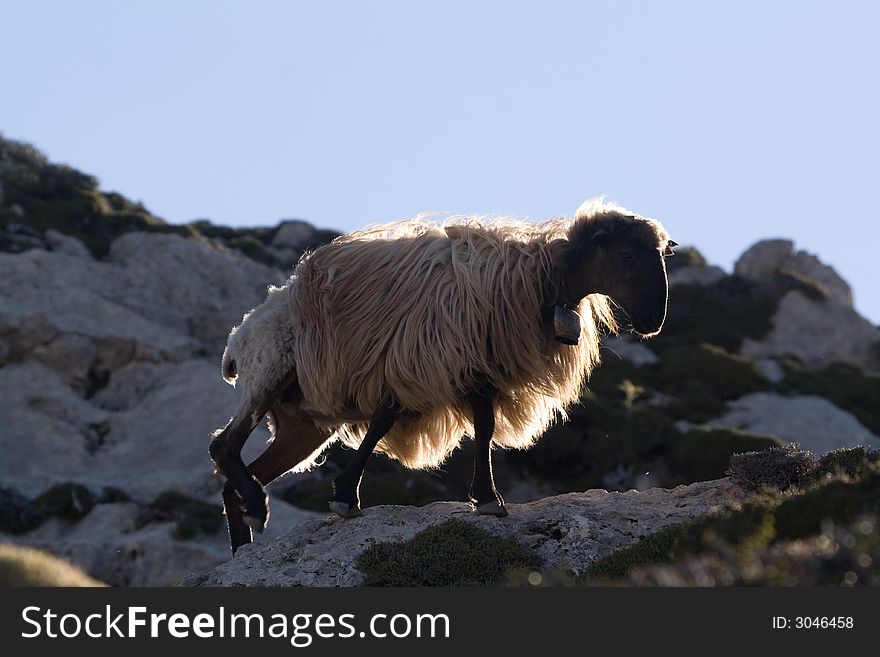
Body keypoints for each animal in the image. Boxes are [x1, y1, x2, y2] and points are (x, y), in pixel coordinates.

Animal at [208, 197, 672, 552]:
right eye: (626, 255)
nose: (654, 320)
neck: (539, 278)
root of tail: (238, 336)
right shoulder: (411, 361)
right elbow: (384, 421)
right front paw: (344, 495)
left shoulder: (473, 368)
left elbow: (483, 426)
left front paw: (486, 498)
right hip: (269, 371)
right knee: (223, 447)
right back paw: (256, 508)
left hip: (301, 425)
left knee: (232, 476)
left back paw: (242, 549)